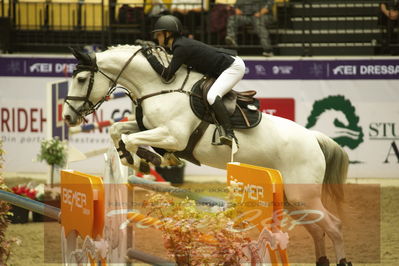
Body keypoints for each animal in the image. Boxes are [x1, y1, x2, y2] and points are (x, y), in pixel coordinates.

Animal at [61, 44, 350, 264]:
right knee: (317, 231)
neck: (159, 86)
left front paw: (146, 159)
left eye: (82, 79)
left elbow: (132, 139)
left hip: (304, 197)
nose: (67, 117)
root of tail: (314, 138)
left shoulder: (173, 135)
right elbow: (118, 129)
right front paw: (137, 156)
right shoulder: (153, 128)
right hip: (293, 201)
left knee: (335, 227)